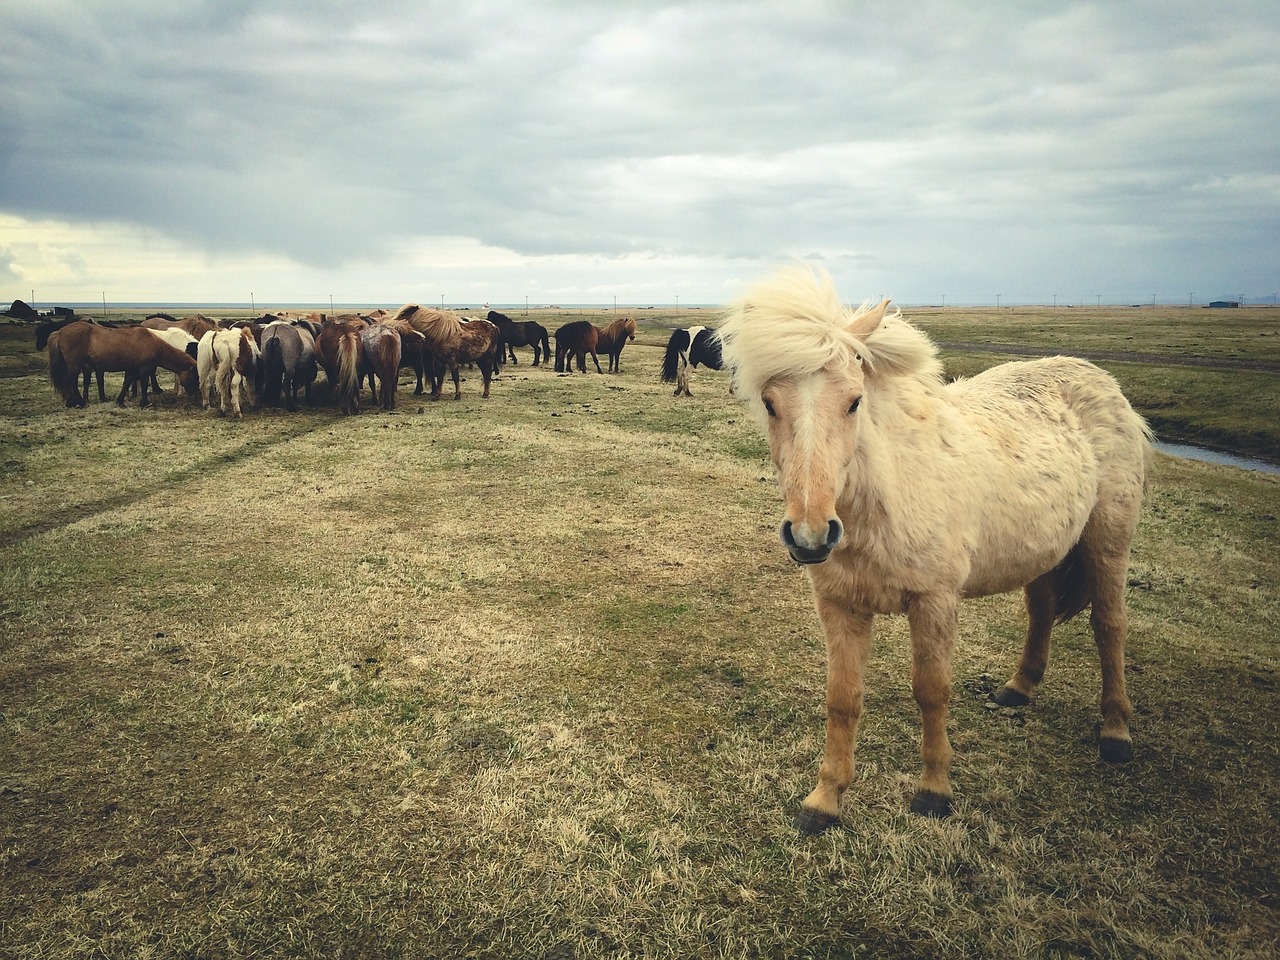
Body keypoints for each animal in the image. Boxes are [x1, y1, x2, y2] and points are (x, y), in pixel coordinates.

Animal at [48, 321, 198, 407]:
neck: (153, 342)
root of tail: (60, 332)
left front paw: (120, 401)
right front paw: (145, 403)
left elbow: (127, 382)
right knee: (70, 383)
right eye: (195, 377)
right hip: (74, 366)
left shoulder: (132, 368)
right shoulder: (144, 368)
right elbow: (144, 384)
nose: (194, 394)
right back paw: (78, 402)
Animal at [721, 264, 1152, 834]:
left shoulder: (934, 603)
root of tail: (1103, 382)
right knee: (1041, 610)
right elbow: (843, 698)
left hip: (1106, 542)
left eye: (854, 401)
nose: (812, 535)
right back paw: (1019, 688)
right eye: (770, 404)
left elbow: (931, 692)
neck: (890, 491)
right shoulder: (841, 606)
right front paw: (825, 799)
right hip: (1044, 549)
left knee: (1109, 625)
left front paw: (933, 792)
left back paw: (1116, 732)